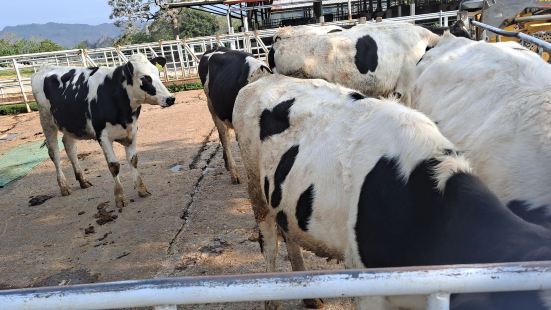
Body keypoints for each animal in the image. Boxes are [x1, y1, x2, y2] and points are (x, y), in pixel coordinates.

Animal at [32, 53, 175, 208]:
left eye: (158, 73)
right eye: (144, 77)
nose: (170, 99)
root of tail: (44, 67)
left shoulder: (132, 131)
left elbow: (133, 160)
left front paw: (142, 189)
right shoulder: (103, 136)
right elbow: (114, 166)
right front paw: (119, 197)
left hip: (70, 123)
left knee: (69, 147)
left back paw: (82, 180)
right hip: (46, 120)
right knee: (54, 152)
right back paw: (64, 186)